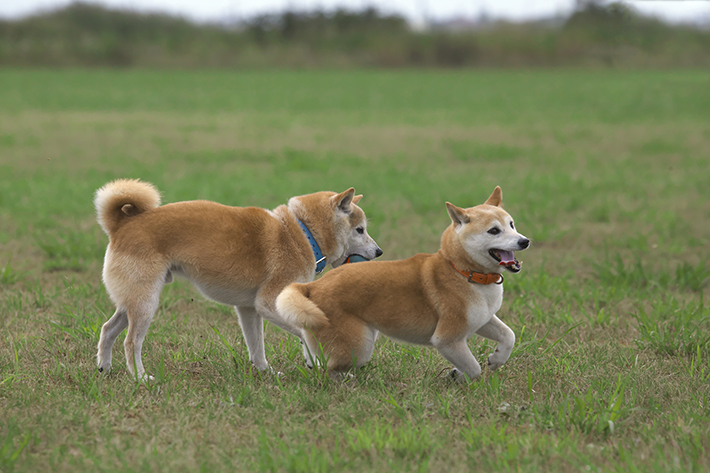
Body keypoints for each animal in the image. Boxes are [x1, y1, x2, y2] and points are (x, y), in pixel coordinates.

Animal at [96, 177, 384, 380]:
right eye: (360, 230)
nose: (379, 252)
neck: (302, 233)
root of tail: (122, 225)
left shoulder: (249, 308)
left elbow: (257, 347)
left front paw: (267, 373)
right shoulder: (269, 303)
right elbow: (305, 329)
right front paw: (317, 360)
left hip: (133, 301)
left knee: (108, 329)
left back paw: (104, 368)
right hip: (146, 301)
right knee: (131, 342)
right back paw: (140, 377)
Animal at [276, 186, 528, 382]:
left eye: (512, 225)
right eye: (494, 231)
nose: (524, 241)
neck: (463, 271)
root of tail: (311, 287)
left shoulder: (482, 318)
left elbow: (508, 335)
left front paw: (495, 359)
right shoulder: (448, 338)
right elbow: (474, 368)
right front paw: (460, 375)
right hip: (359, 345)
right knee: (328, 370)